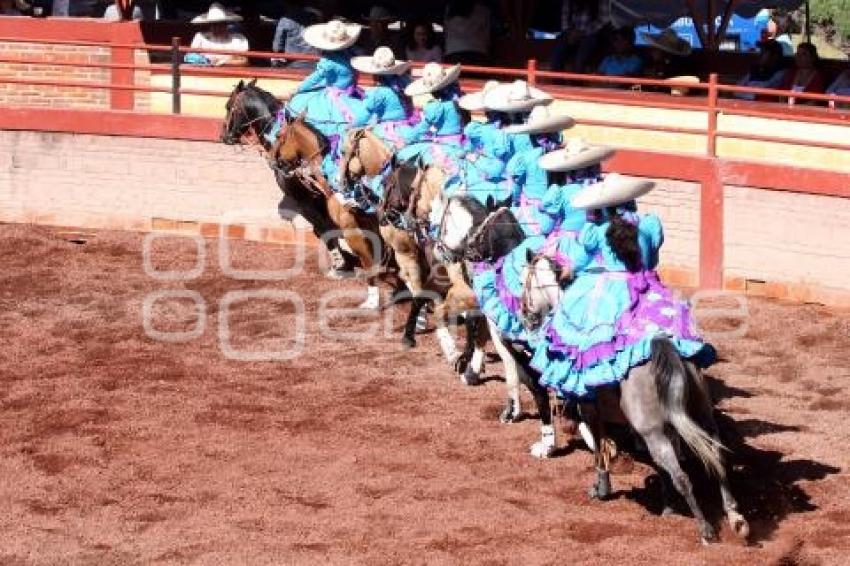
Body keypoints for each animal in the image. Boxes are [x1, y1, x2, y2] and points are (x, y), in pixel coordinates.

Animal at [516, 254, 748, 544]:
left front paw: (601, 489)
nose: (525, 317)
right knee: (717, 459)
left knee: (683, 476)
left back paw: (706, 529)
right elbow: (659, 467)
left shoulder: (591, 409)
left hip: (653, 430)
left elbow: (600, 447)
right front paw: (668, 506)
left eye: (524, 283)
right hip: (700, 416)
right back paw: (736, 516)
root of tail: (662, 343)